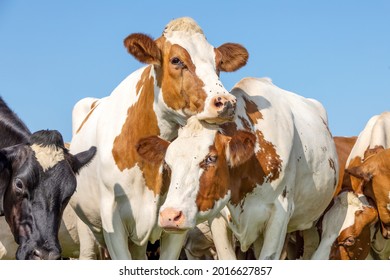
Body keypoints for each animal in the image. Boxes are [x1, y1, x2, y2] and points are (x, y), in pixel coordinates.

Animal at [68, 16, 248, 260]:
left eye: (218, 62)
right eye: (176, 60)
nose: (226, 102)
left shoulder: (175, 221)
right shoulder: (113, 222)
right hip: (87, 228)